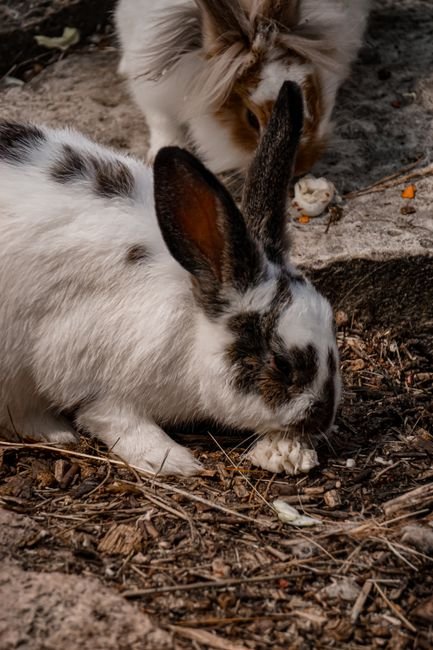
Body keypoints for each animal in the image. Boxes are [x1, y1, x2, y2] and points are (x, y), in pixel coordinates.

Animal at [0, 81, 341, 477]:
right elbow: (115, 420)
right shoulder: (93, 378)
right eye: (281, 364)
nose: (323, 419)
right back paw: (55, 431)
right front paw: (172, 460)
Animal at [115, 0, 370, 176]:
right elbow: (163, 123)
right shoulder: (153, 93)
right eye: (251, 119)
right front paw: (162, 152)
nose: (302, 168)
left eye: (311, 98)